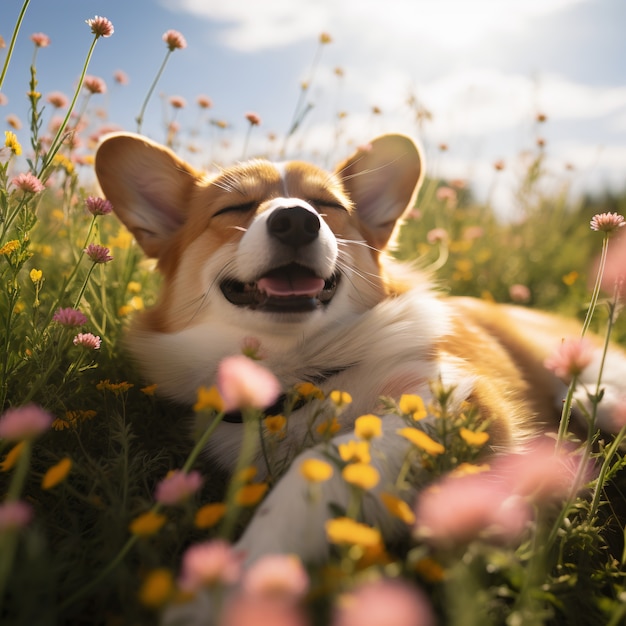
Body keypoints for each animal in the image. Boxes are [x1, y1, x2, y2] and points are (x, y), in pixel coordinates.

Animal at [92, 130, 624, 560]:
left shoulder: (454, 394)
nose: (296, 220)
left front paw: (248, 571)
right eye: (234, 208)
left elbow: (327, 459)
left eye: (328, 207)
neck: (302, 372)